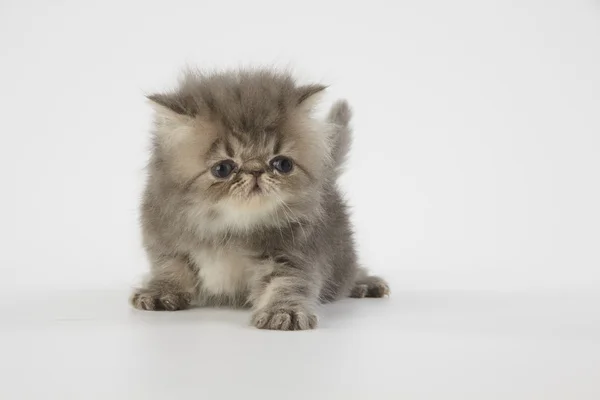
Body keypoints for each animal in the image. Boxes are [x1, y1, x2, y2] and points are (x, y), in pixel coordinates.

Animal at [131, 69, 390, 332]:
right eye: (223, 168)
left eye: (282, 164)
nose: (255, 171)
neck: (230, 229)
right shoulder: (166, 237)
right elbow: (171, 267)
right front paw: (161, 291)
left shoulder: (295, 251)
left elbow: (287, 282)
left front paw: (283, 311)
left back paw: (365, 283)